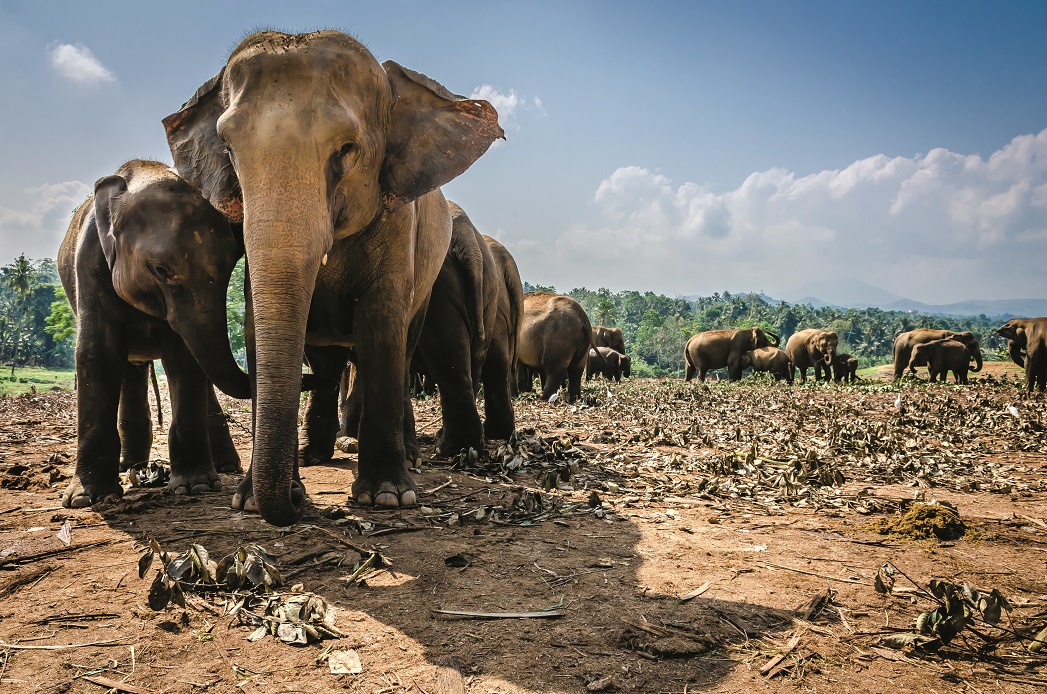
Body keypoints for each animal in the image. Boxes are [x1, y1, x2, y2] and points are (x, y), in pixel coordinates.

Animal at [56, 160, 251, 508]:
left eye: (231, 265)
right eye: (161, 270)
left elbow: (184, 359)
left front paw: (195, 486)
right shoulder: (89, 265)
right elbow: (97, 354)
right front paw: (84, 499)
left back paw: (225, 467)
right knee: (130, 371)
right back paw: (131, 466)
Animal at [163, 30, 502, 523]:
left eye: (346, 150)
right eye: (228, 151)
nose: (293, 507)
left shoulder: (398, 220)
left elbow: (381, 324)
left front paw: (387, 497)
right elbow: (258, 329)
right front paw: (250, 501)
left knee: (405, 345)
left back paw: (407, 456)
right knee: (328, 362)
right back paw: (314, 454)